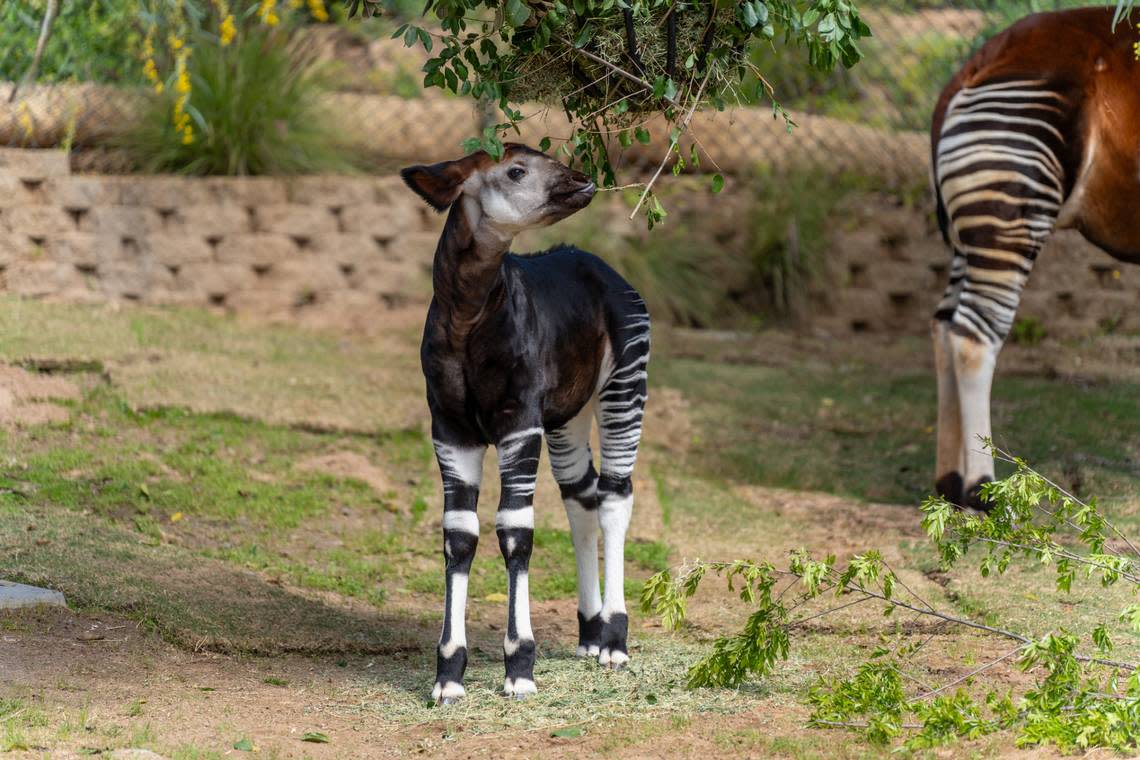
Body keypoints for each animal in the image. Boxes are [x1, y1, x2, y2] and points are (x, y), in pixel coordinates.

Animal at [401, 145, 652, 706]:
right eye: (516, 171)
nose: (583, 181)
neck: (468, 317)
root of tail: (601, 265)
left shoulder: (518, 424)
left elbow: (515, 532)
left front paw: (519, 667)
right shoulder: (451, 430)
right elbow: (460, 536)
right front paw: (448, 675)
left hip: (625, 384)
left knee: (616, 494)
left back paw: (615, 642)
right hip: (566, 416)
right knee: (582, 495)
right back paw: (591, 631)